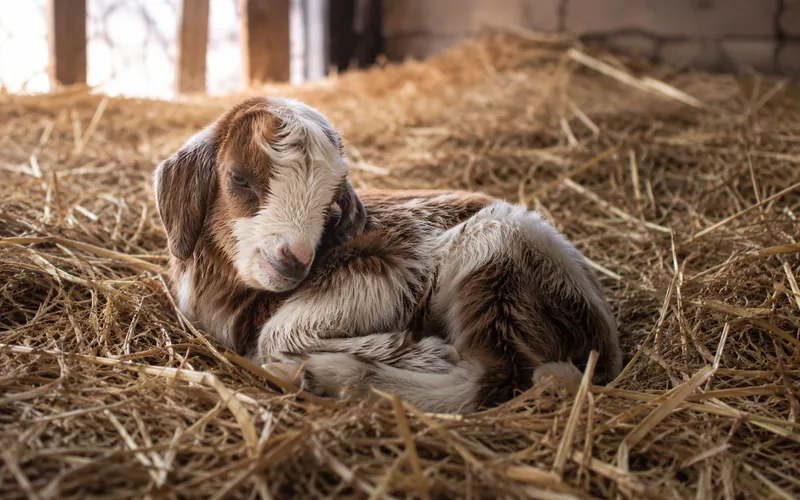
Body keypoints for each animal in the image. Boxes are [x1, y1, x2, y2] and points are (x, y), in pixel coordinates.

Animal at [153, 96, 622, 413]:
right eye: (239, 178)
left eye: (331, 205)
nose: (294, 260)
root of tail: (604, 340)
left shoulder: (387, 261)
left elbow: (276, 333)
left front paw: (422, 353)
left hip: (500, 261)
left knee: (497, 374)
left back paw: (327, 375)